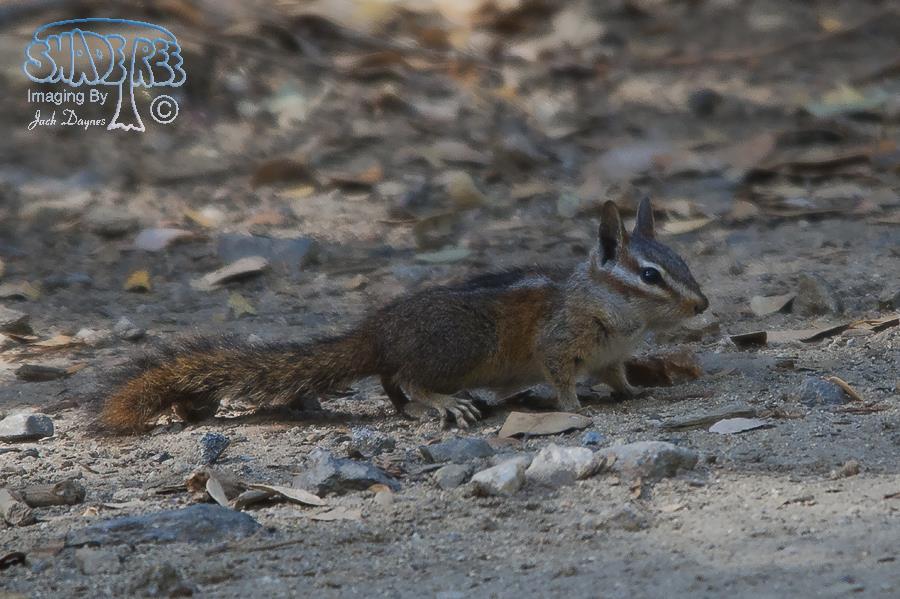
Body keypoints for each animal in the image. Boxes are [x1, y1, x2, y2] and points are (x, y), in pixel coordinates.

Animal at [98, 197, 708, 434]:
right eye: (650, 275)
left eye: (683, 262)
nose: (702, 304)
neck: (620, 316)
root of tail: (376, 330)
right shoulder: (560, 345)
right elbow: (561, 376)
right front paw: (574, 406)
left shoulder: (612, 357)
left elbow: (619, 377)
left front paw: (635, 392)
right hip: (462, 346)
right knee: (408, 378)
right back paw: (440, 403)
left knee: (392, 383)